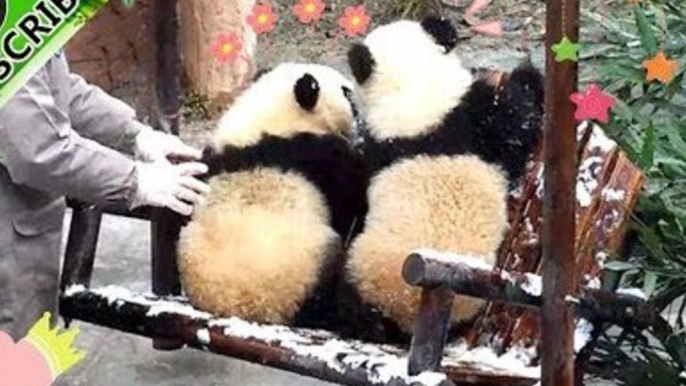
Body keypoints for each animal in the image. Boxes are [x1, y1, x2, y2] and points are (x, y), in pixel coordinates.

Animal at [179, 62, 370, 328]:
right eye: (347, 93)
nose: (361, 121)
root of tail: (244, 311)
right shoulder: (315, 153)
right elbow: (352, 198)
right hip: (305, 267)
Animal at [340, 17, 548, 344]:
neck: (413, 90)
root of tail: (405, 307)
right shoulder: (476, 120)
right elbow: (517, 119)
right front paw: (529, 76)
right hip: (358, 270)